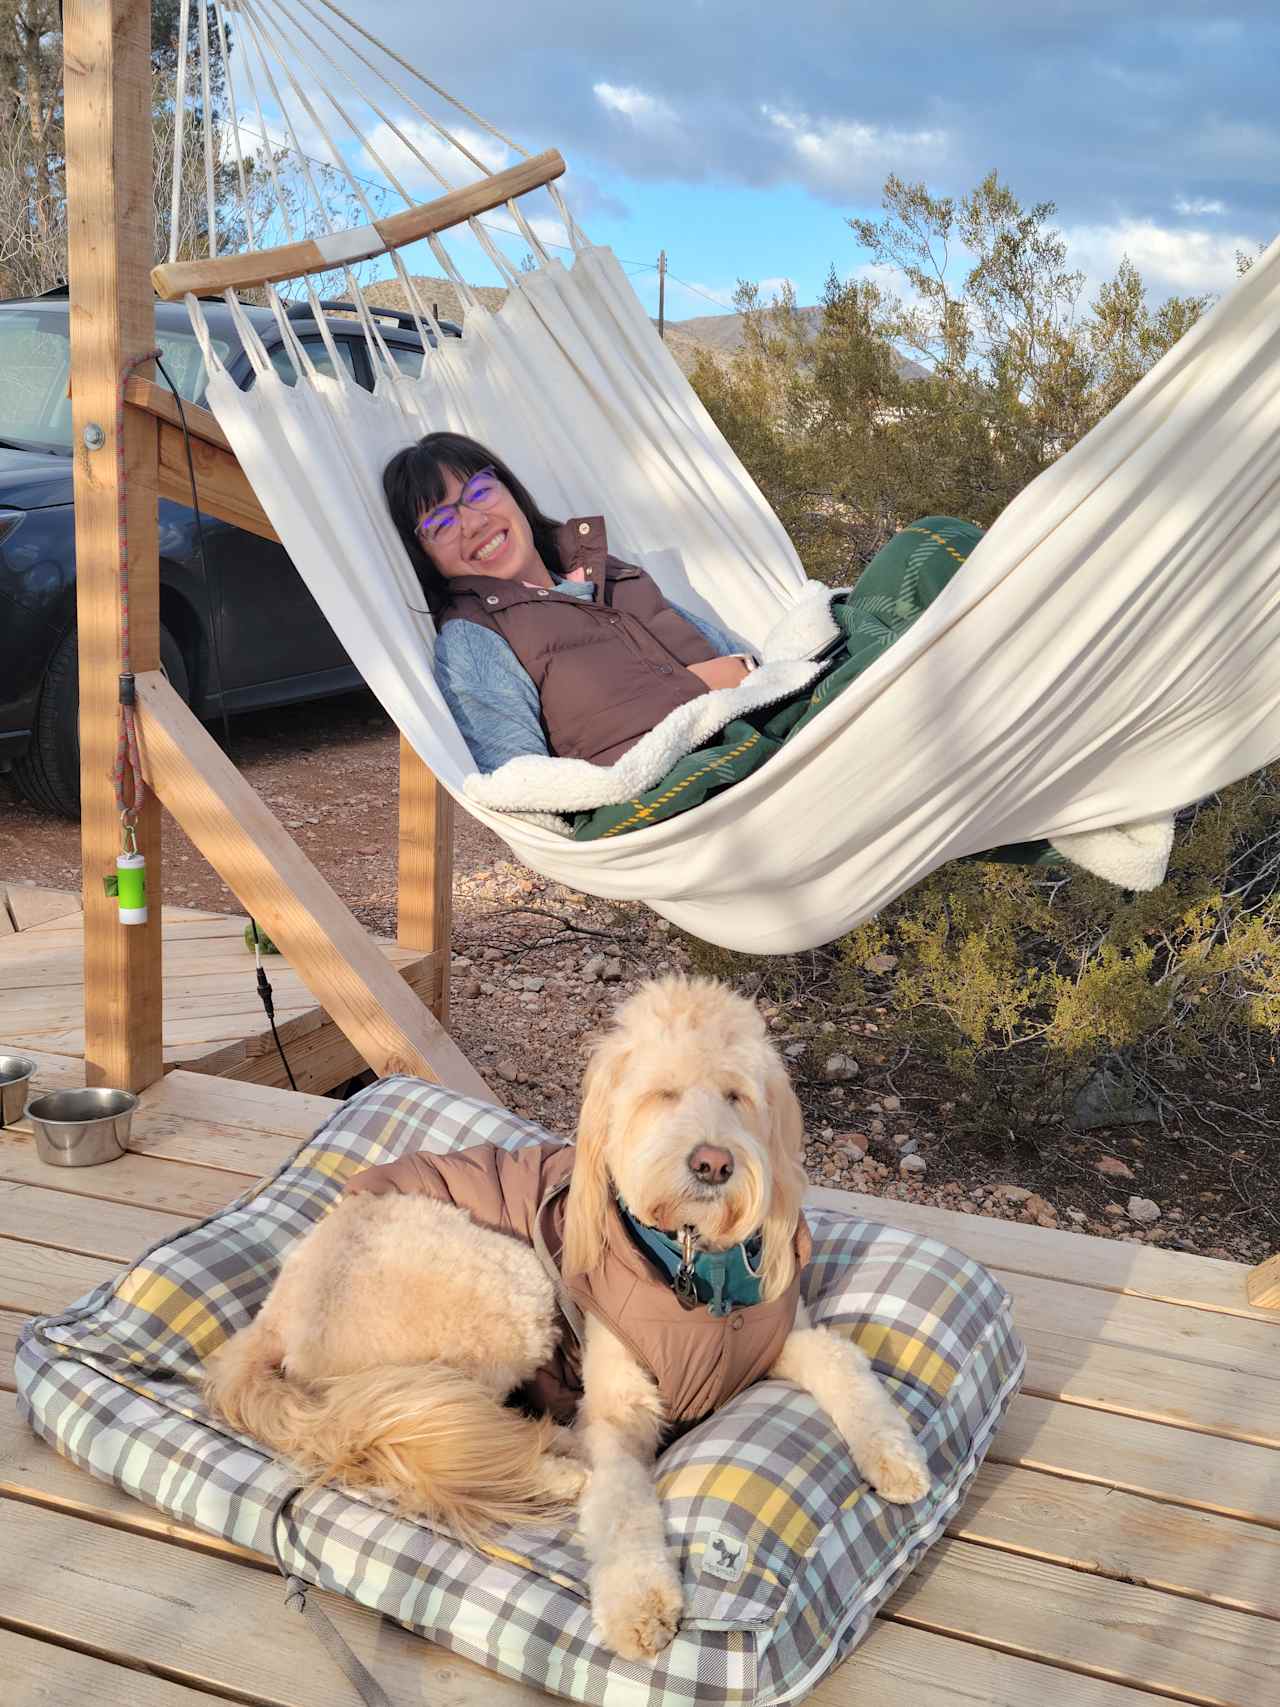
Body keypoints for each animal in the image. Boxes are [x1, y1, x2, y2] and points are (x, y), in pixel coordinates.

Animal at [208, 983, 935, 1659]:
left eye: (736, 1095)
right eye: (662, 1095)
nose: (714, 1163)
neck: (692, 1262)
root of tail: (278, 1310)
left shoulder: (785, 1336)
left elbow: (846, 1365)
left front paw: (896, 1455)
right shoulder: (618, 1407)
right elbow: (622, 1507)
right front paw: (639, 1603)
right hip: (505, 1288)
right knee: (412, 1442)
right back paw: (557, 1465)